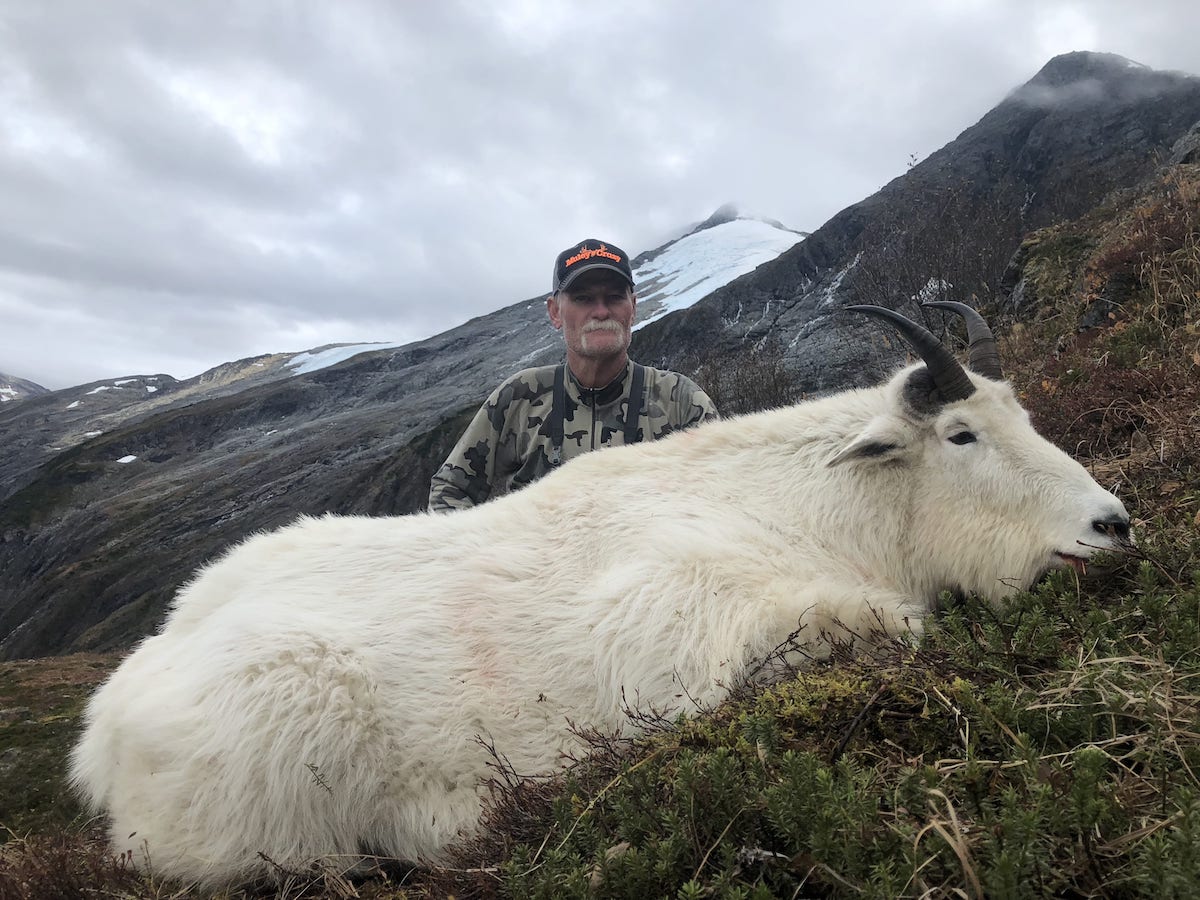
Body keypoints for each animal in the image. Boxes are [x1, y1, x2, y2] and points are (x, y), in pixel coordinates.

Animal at [72, 303, 1123, 888]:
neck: (809, 501)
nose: (1112, 526)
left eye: (1024, 415)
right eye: (961, 435)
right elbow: (896, 629)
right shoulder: (695, 634)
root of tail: (107, 723)